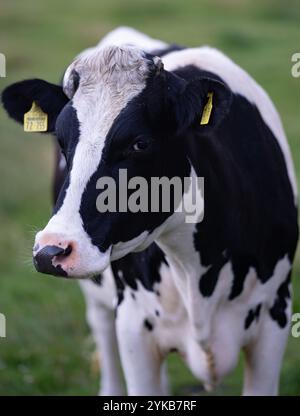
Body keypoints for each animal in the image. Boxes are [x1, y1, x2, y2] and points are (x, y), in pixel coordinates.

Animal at [1, 30, 298, 394]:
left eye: (139, 143)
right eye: (61, 140)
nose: (51, 250)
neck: (198, 275)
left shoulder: (275, 316)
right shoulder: (132, 324)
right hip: (101, 303)